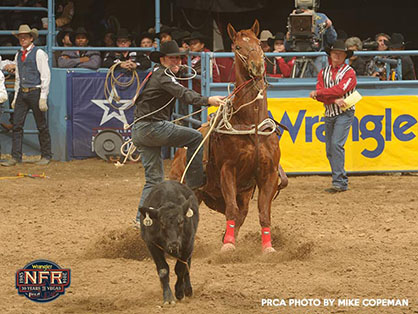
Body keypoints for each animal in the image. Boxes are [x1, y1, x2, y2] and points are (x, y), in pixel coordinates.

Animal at [168, 20, 286, 253]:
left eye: (259, 43)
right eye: (238, 46)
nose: (257, 66)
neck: (250, 124)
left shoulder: (267, 174)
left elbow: (263, 213)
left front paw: (267, 247)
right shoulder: (228, 170)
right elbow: (232, 210)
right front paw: (228, 246)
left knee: (241, 213)